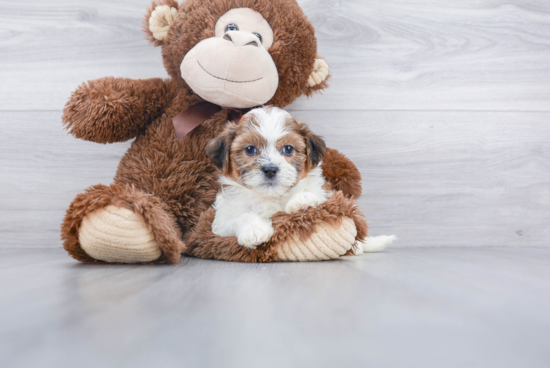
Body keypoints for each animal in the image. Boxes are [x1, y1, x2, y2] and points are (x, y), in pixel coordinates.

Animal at [206, 107, 328, 250]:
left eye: (288, 149)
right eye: (250, 149)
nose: (270, 170)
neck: (269, 197)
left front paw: (302, 199)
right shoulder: (221, 226)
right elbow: (241, 217)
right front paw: (254, 230)